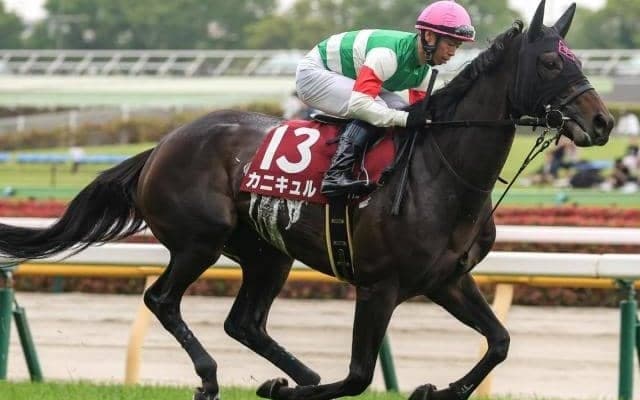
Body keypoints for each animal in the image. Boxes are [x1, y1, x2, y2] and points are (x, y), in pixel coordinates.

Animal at [0, 1, 613, 399]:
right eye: (552, 62)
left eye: (579, 59)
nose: (603, 122)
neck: (442, 171)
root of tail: (162, 145)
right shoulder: (379, 285)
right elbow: (361, 376)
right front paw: (287, 392)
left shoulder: (446, 279)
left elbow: (500, 342)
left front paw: (437, 390)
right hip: (199, 240)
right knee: (162, 299)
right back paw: (212, 377)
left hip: (268, 253)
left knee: (244, 322)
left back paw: (294, 373)